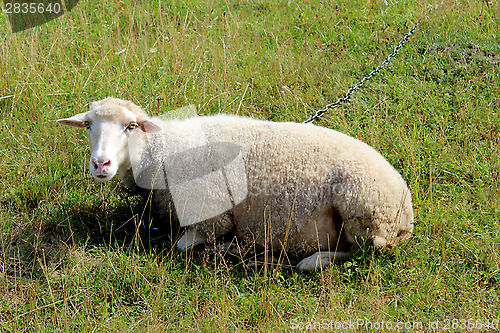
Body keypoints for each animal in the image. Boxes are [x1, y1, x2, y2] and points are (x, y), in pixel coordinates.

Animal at [57, 96, 414, 270]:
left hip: (363, 209)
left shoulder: (212, 218)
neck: (161, 152)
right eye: (88, 125)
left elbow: (183, 244)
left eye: (131, 126)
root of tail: (406, 214)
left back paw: (305, 260)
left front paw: (224, 246)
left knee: (360, 252)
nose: (101, 164)